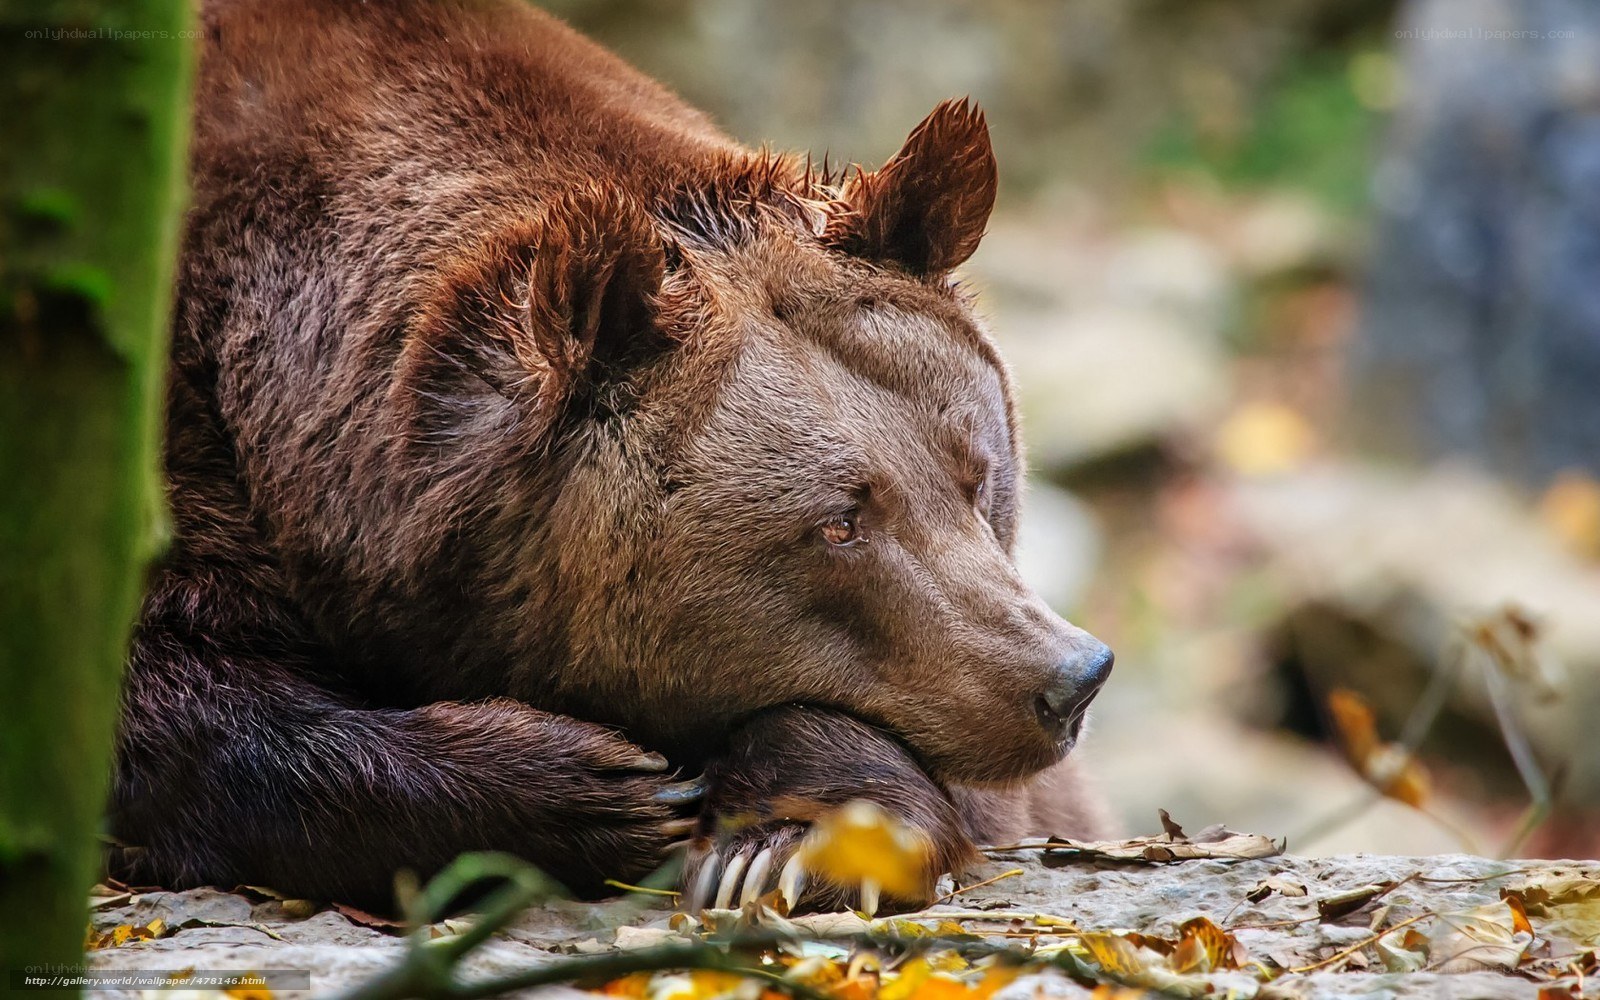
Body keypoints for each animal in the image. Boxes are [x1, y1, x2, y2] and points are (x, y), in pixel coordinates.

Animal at [107, 0, 1114, 913]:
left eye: (978, 475)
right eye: (838, 524)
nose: (1067, 680)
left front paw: (783, 840)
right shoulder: (173, 435)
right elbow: (172, 702)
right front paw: (599, 786)